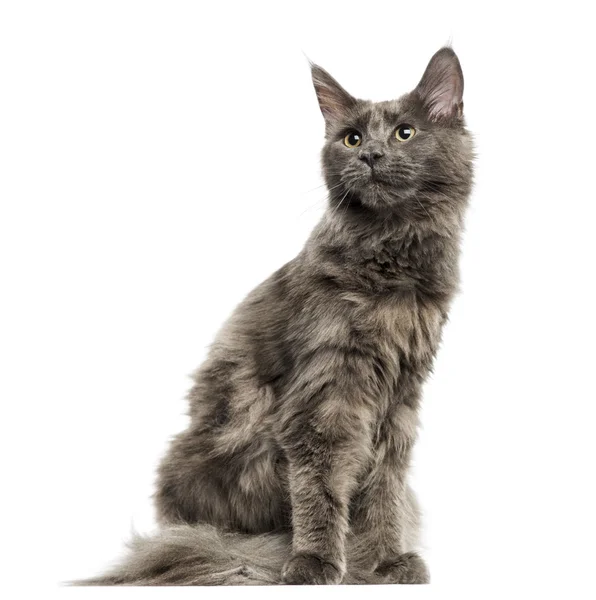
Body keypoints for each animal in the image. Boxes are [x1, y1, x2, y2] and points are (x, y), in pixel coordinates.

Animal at [80, 45, 474, 584]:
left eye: (405, 132)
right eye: (351, 138)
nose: (371, 155)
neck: (393, 263)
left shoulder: (400, 400)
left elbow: (384, 490)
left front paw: (386, 559)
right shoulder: (325, 395)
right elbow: (321, 486)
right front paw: (315, 561)